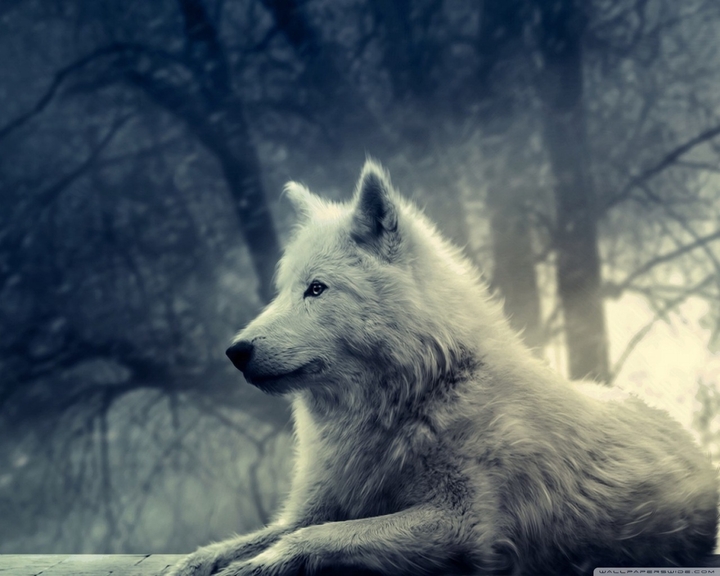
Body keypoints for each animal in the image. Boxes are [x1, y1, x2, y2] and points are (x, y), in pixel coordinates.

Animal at [169, 161, 719, 576]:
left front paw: (258, 565)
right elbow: (252, 538)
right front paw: (196, 562)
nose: (235, 351)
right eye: (283, 290)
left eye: (317, 289)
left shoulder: (461, 524)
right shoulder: (313, 506)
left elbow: (318, 536)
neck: (420, 394)